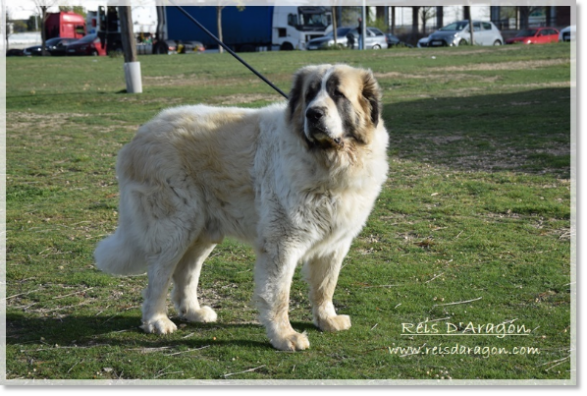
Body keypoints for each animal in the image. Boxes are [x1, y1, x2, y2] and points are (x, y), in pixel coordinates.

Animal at [95, 63, 390, 352]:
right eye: (309, 95)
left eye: (338, 94)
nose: (313, 114)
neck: (330, 162)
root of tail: (140, 134)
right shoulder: (283, 243)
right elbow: (278, 294)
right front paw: (284, 336)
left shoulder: (335, 243)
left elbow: (325, 285)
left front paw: (327, 319)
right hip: (174, 227)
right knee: (159, 275)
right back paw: (156, 320)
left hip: (202, 232)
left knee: (186, 271)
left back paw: (193, 312)